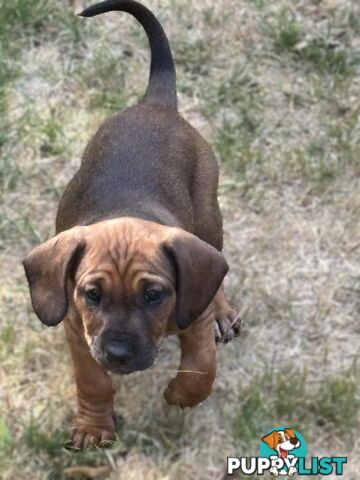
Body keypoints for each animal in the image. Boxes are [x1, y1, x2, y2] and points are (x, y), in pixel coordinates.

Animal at [23, 0, 240, 450]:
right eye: (91, 294)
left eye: (154, 295)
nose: (120, 355)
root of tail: (156, 104)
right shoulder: (78, 332)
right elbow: (92, 381)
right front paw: (93, 427)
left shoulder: (193, 318)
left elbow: (202, 365)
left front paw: (183, 394)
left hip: (209, 216)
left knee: (219, 267)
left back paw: (223, 311)